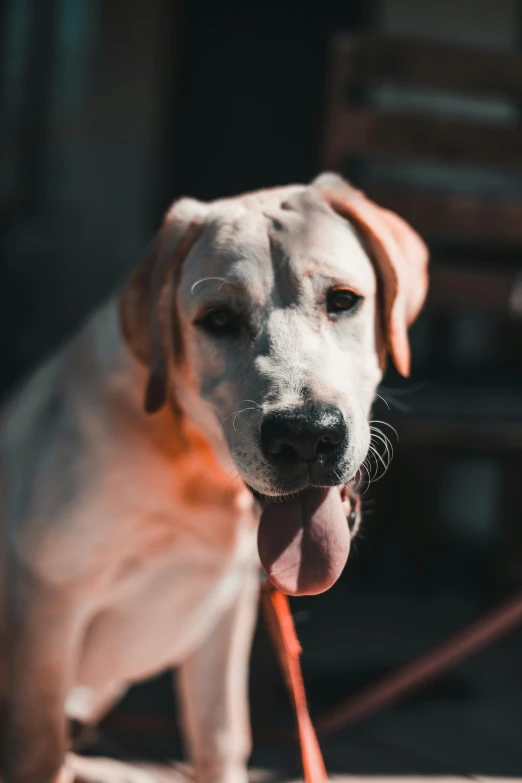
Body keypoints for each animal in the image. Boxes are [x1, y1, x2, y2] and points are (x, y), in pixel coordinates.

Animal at [0, 173, 426, 783]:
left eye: (343, 300)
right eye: (218, 320)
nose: (304, 437)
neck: (191, 464)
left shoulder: (224, 616)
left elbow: (221, 737)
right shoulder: (48, 605)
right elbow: (38, 747)